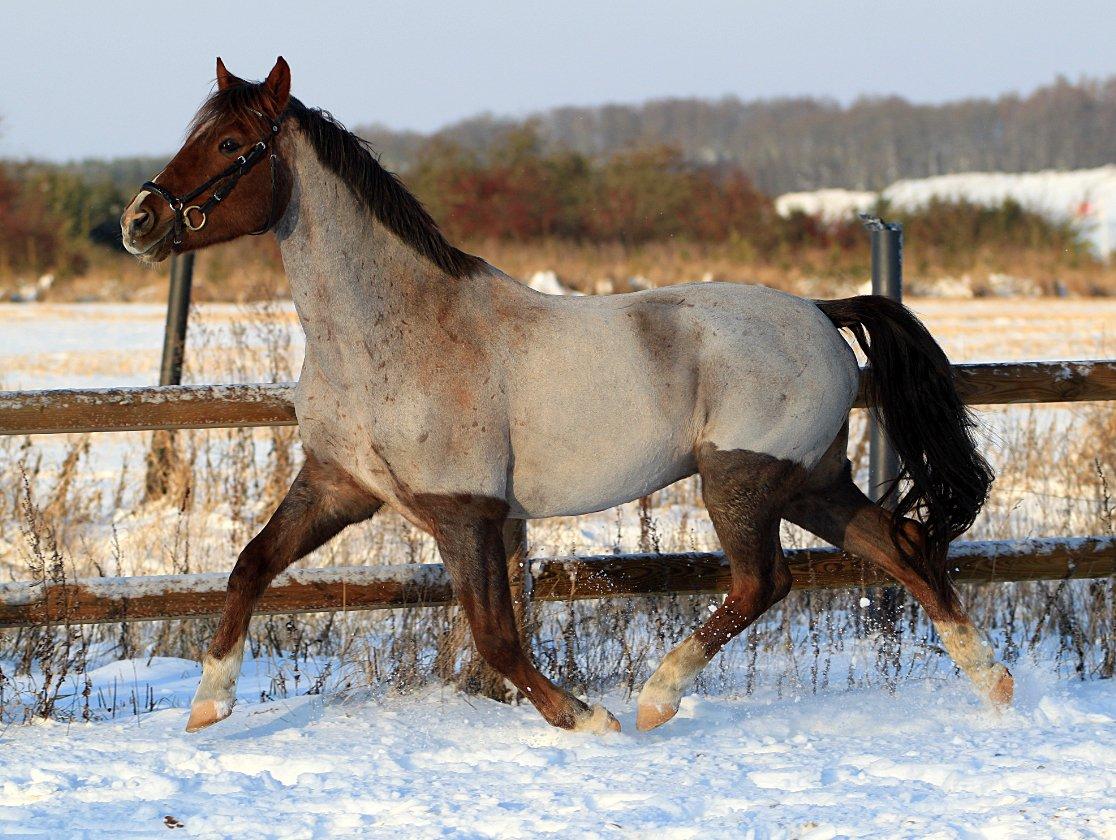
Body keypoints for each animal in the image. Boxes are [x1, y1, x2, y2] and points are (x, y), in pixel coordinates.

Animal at [122, 55, 1013, 731]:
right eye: (194, 134)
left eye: (232, 142)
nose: (139, 220)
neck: (385, 336)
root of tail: (821, 312)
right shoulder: (338, 486)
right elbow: (249, 566)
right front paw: (206, 707)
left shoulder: (466, 513)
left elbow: (495, 637)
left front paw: (586, 718)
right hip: (811, 481)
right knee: (901, 546)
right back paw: (995, 686)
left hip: (741, 479)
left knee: (765, 583)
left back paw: (655, 699)